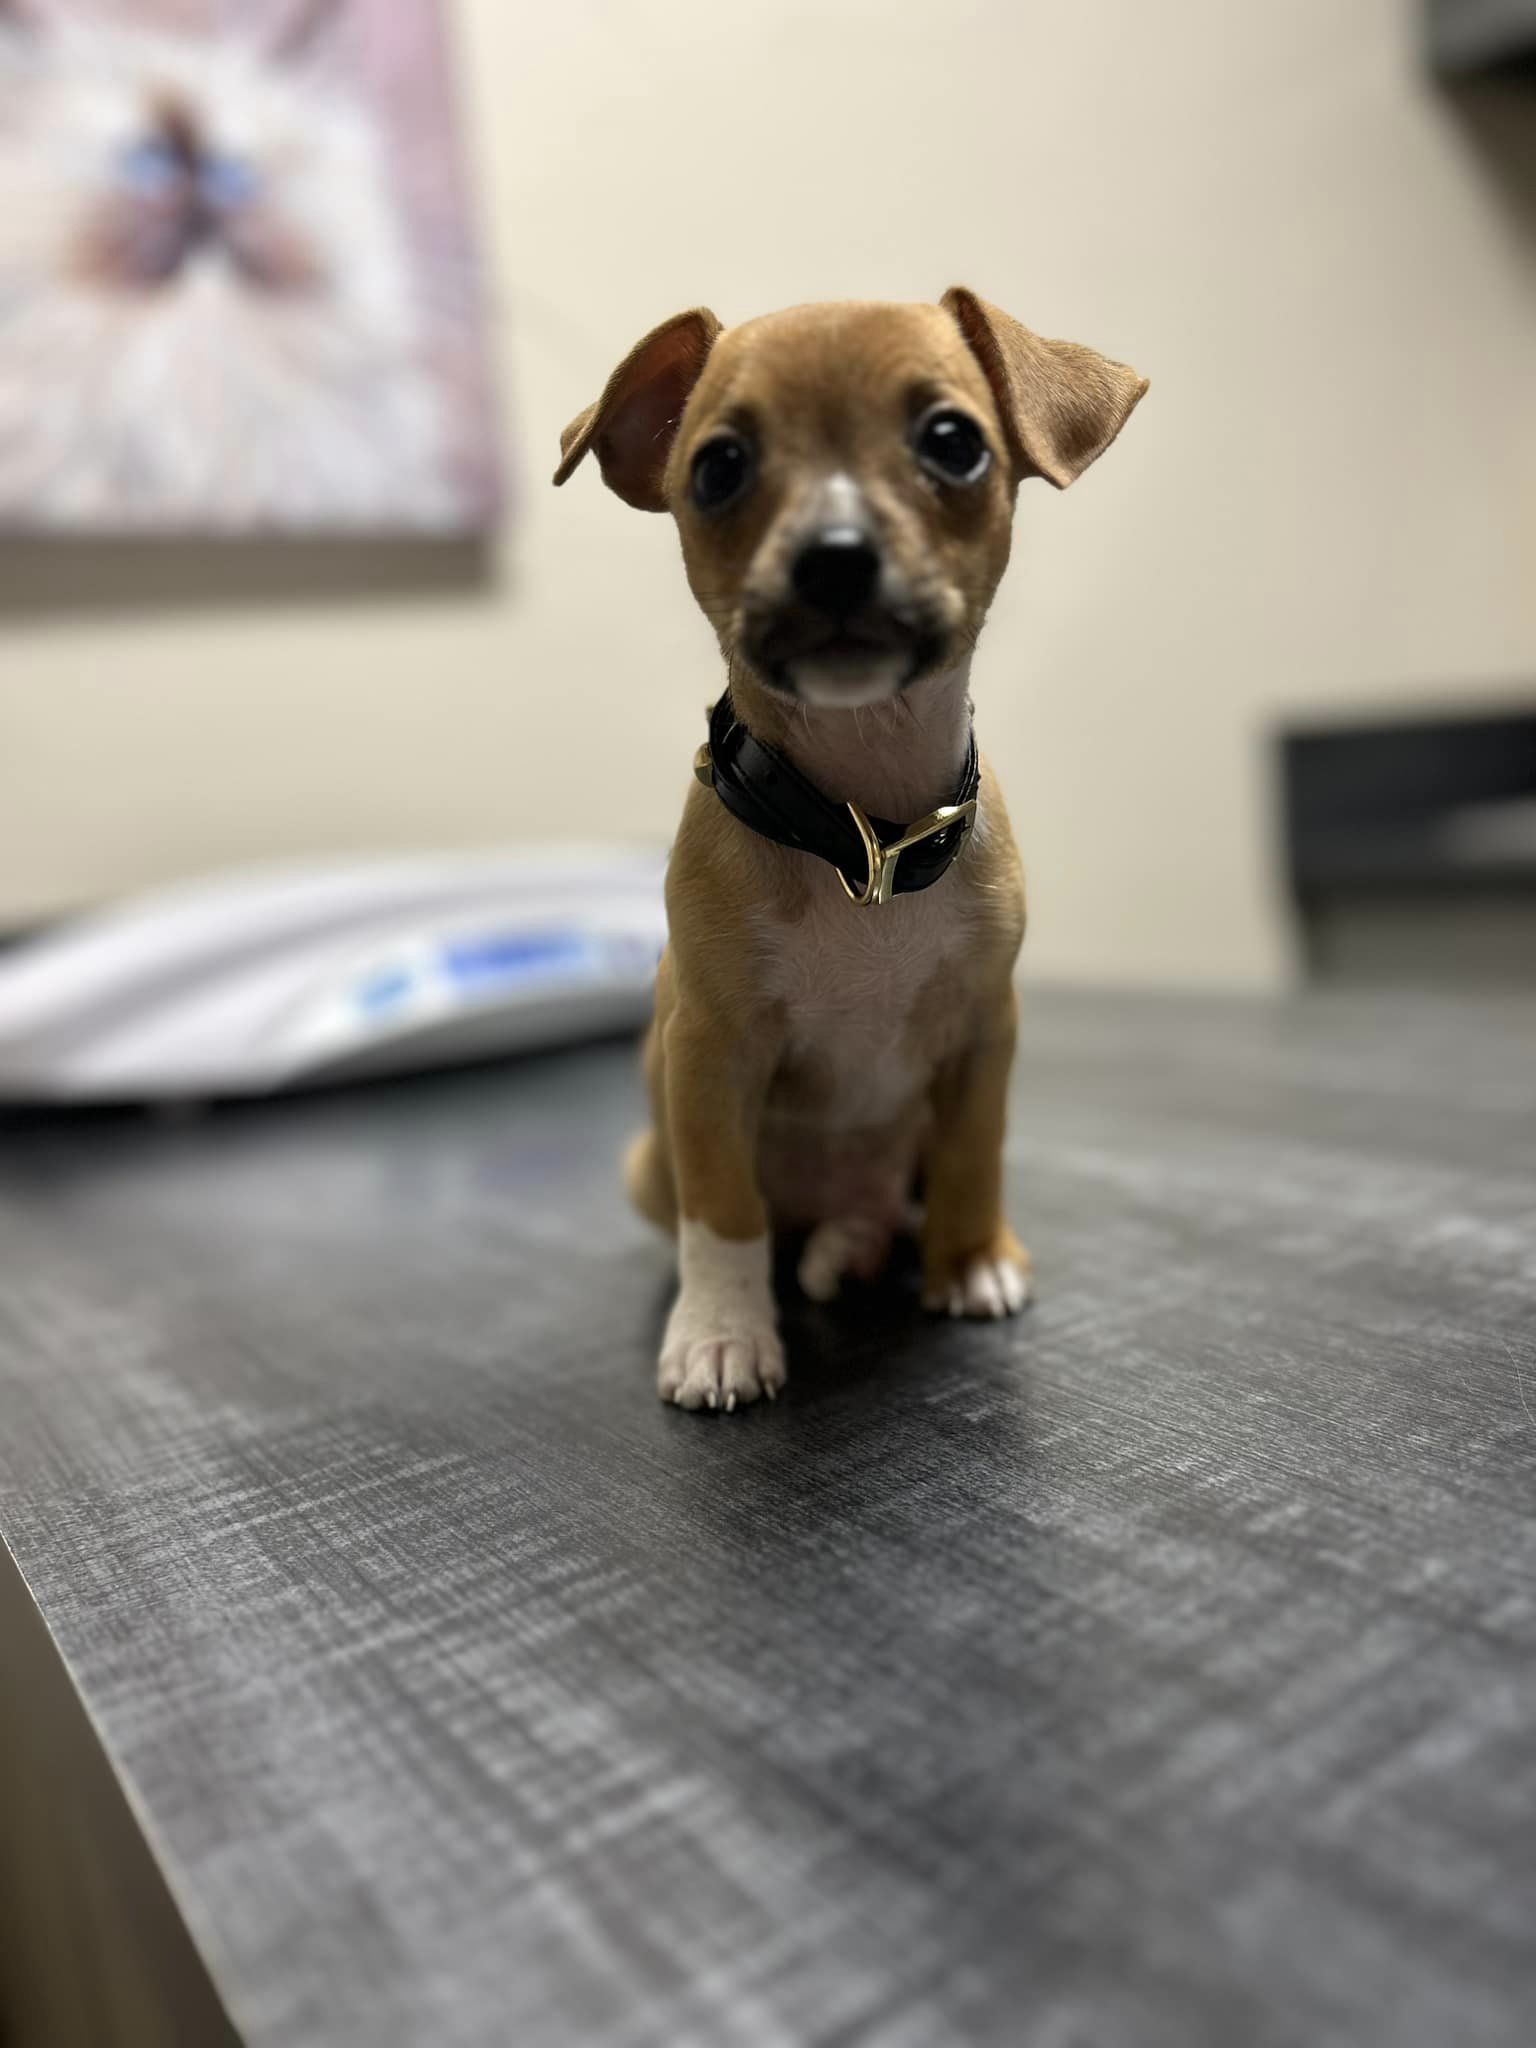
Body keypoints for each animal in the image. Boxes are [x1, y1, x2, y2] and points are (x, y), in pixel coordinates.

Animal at [552, 288, 1146, 1409]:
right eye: (718, 467)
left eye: (953, 442)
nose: (833, 553)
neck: (862, 829)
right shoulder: (709, 1057)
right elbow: (724, 1213)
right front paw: (723, 1333)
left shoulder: (982, 1035)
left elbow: (972, 1155)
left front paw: (971, 1257)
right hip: (650, 1163)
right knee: (764, 1222)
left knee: (882, 1200)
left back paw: (863, 1244)